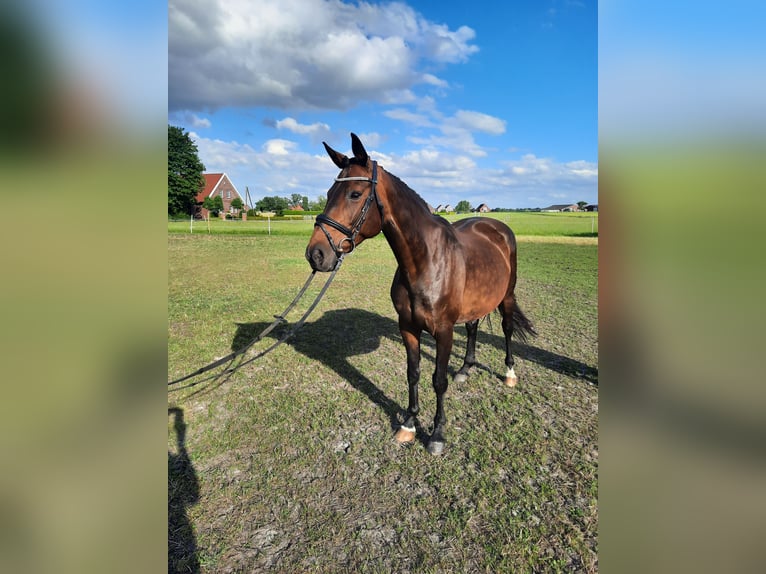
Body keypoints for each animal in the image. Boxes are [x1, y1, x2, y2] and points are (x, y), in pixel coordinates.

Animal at [304, 133, 536, 456]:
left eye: (354, 194)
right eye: (328, 192)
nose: (316, 254)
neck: (425, 261)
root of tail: (496, 226)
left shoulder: (444, 331)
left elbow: (438, 380)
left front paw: (437, 434)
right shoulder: (408, 328)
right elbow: (412, 373)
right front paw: (409, 424)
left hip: (508, 296)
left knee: (507, 328)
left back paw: (510, 374)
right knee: (473, 327)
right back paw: (465, 368)